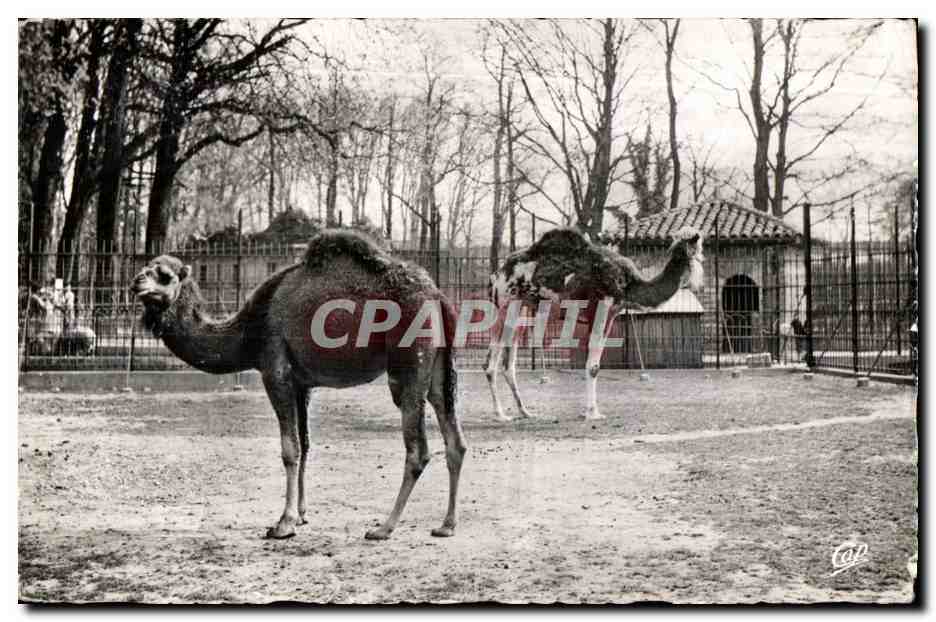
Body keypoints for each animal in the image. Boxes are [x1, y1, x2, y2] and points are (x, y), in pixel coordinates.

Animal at [130, 230, 467, 541]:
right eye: (146, 267)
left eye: (164, 275)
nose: (136, 283)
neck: (250, 328)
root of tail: (438, 297)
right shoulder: (302, 383)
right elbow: (305, 444)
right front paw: (303, 515)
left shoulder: (275, 371)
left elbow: (289, 449)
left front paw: (284, 523)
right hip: (439, 366)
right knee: (454, 437)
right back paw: (446, 525)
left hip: (407, 364)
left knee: (418, 449)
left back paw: (384, 527)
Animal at [486, 226, 704, 421]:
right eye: (697, 248)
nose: (702, 263)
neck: (627, 283)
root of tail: (495, 275)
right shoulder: (602, 309)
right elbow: (593, 367)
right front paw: (593, 413)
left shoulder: (609, 315)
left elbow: (592, 364)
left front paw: (587, 411)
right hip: (506, 303)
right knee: (490, 363)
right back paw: (500, 415)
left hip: (521, 309)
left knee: (509, 364)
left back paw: (525, 412)